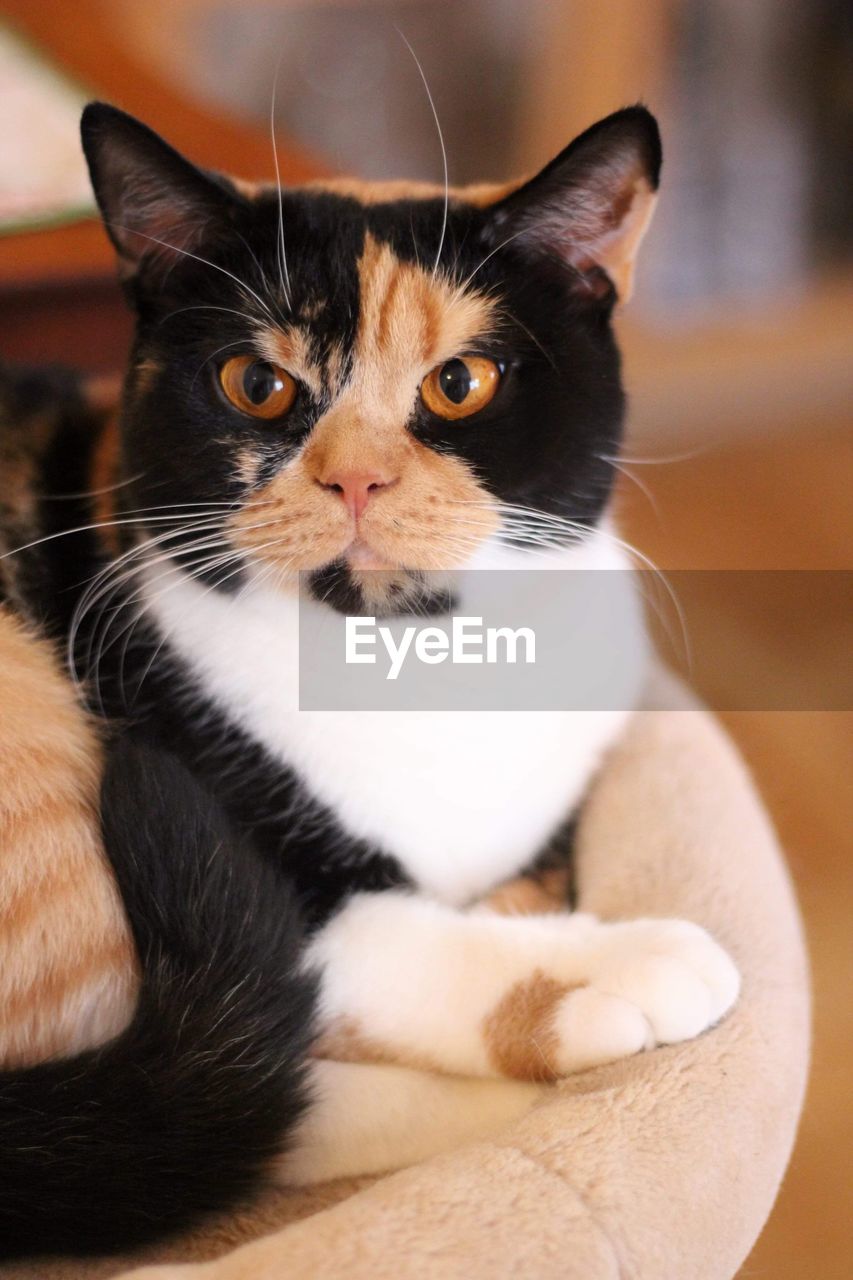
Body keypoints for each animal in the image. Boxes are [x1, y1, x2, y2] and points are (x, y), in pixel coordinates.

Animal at [0, 102, 737, 1259]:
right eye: (256, 383)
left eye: (460, 381)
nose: (354, 477)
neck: (410, 657)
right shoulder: (269, 879)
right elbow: (378, 943)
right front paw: (618, 966)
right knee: (206, 1116)